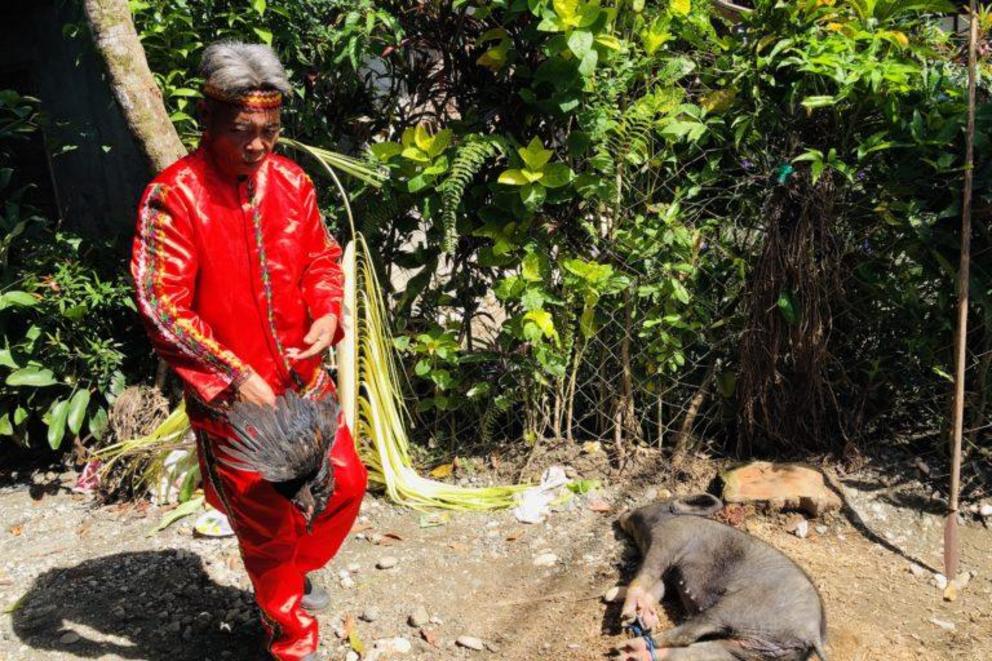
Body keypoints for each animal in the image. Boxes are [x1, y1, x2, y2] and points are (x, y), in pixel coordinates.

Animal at [616, 496, 824, 660]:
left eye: (652, 504)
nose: (623, 512)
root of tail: (812, 632)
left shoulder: (666, 542)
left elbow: (644, 576)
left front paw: (626, 616)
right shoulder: (670, 574)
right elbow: (656, 588)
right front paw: (641, 617)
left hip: (736, 607)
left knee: (689, 634)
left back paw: (624, 647)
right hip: (758, 648)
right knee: (710, 650)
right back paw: (628, 653)